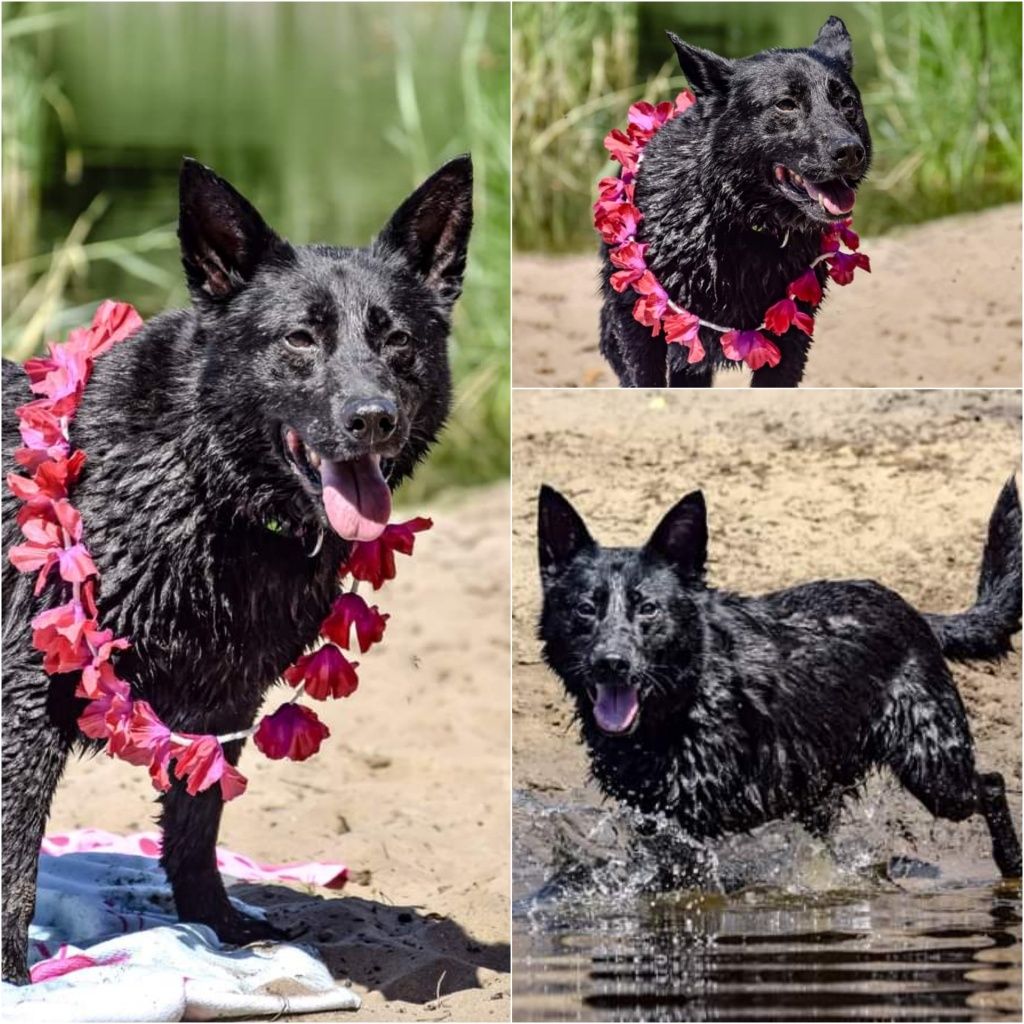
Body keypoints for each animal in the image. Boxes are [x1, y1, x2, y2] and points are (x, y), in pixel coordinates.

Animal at [2, 155, 473, 978]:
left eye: (398, 341)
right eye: (299, 338)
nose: (373, 418)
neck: (203, 484)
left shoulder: (225, 706)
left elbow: (197, 828)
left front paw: (214, 927)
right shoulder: (25, 709)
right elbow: (15, 866)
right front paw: (11, 977)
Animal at [540, 483, 1019, 876]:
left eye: (648, 608)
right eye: (585, 608)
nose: (611, 663)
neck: (683, 702)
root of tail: (916, 613)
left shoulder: (688, 829)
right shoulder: (653, 821)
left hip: (934, 770)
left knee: (992, 784)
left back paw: (1011, 862)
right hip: (824, 787)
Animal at [598, 16, 872, 391]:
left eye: (847, 103)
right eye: (786, 104)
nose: (850, 151)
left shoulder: (791, 335)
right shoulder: (637, 324)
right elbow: (643, 379)